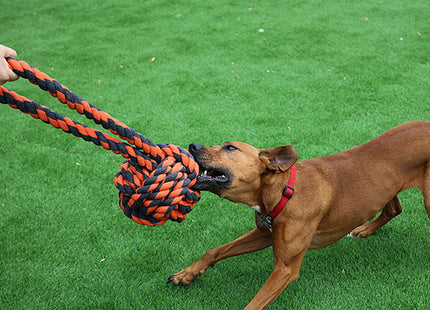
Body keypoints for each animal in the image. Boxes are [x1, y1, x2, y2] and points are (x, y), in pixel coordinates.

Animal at [167, 120, 430, 308]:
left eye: (230, 147)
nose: (192, 146)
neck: (285, 191)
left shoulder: (285, 268)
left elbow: (254, 304)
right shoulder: (263, 233)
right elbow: (214, 251)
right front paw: (187, 274)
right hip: (386, 187)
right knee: (394, 208)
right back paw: (364, 229)